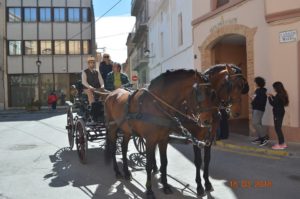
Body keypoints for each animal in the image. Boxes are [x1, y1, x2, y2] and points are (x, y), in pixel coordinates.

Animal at [104, 69, 214, 198]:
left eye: (212, 93)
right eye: (201, 93)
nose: (208, 121)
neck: (156, 105)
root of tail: (111, 94)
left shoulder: (163, 139)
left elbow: (164, 162)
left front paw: (165, 186)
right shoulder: (150, 140)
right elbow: (148, 164)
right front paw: (149, 190)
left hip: (127, 131)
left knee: (124, 148)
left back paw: (126, 172)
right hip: (112, 128)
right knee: (113, 148)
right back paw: (117, 171)